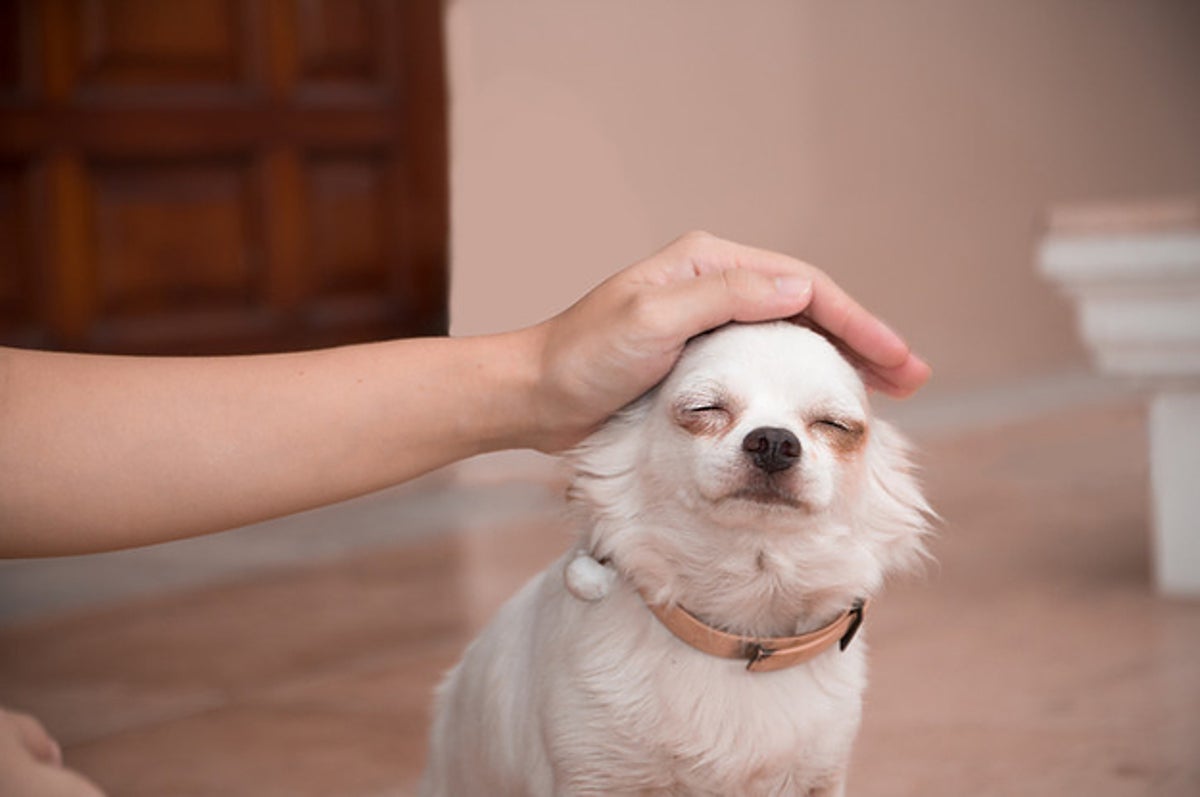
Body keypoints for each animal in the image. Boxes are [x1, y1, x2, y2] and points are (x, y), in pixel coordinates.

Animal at [417, 321, 931, 792]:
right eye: (706, 408)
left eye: (832, 425)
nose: (774, 440)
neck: (739, 634)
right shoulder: (593, 772)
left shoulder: (820, 775)